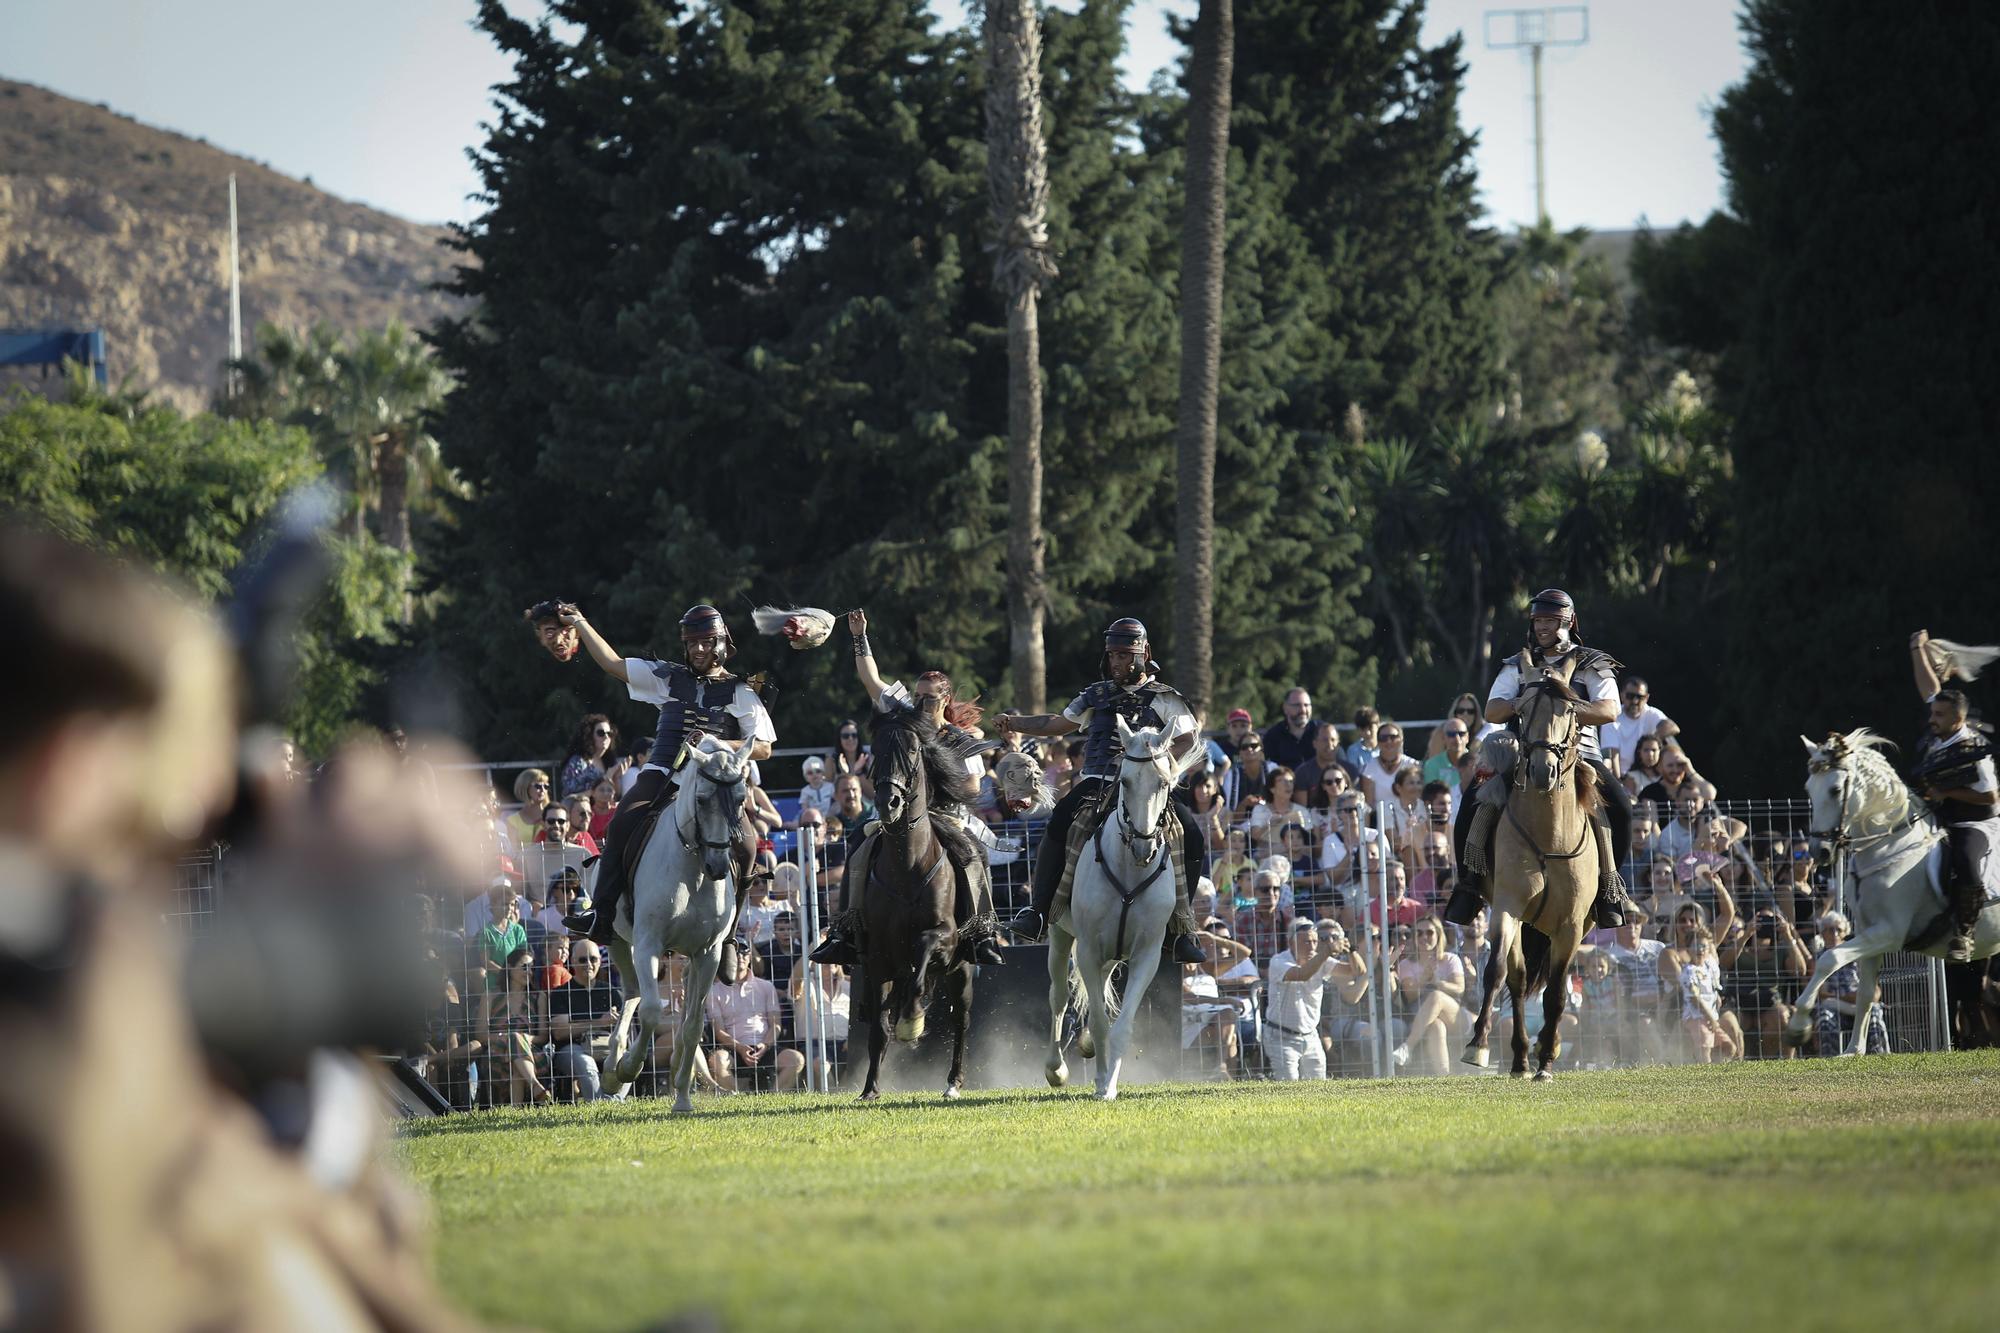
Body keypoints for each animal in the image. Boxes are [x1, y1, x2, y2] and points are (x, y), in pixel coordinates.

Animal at [852, 700, 984, 1096]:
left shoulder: (946, 936)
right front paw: (870, 1088)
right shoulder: (877, 957)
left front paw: (913, 1021)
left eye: (912, 750)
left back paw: (953, 1082)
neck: (907, 864)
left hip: (963, 970)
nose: (889, 801)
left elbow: (923, 950)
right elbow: (879, 1027)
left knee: (961, 1018)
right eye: (876, 751)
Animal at [1048, 716, 1200, 1096]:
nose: (1144, 845)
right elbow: (1101, 1022)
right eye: (1126, 781)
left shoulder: (1147, 953)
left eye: (1163, 782)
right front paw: (1102, 1081)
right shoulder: (1088, 949)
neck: (1130, 870)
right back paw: (1055, 1069)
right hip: (1059, 936)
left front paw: (1109, 1080)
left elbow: (1121, 1024)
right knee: (1058, 997)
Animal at [1792, 728, 1992, 1048]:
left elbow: (1828, 959)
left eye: (1835, 790)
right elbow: (1864, 992)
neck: (1889, 846)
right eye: (1810, 788)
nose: (1819, 851)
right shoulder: (1868, 932)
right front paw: (1853, 1049)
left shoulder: (1890, 933)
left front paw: (1798, 1025)